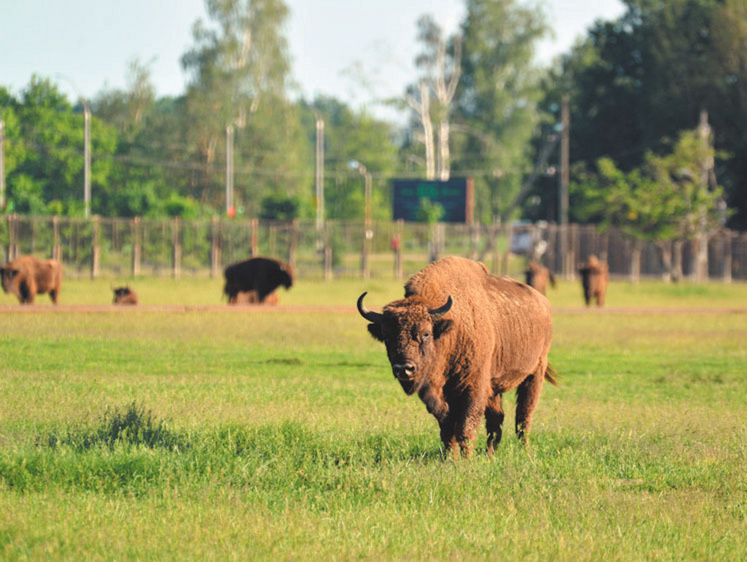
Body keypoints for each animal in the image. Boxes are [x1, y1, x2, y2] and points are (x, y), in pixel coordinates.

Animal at [356, 256, 556, 458]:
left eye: (426, 333)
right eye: (386, 336)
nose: (404, 369)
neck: (449, 332)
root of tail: (543, 302)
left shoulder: (475, 387)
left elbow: (465, 427)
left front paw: (467, 459)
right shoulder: (436, 394)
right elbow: (447, 428)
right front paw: (452, 459)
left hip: (535, 373)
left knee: (523, 416)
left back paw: (525, 451)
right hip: (495, 387)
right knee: (496, 420)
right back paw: (489, 455)